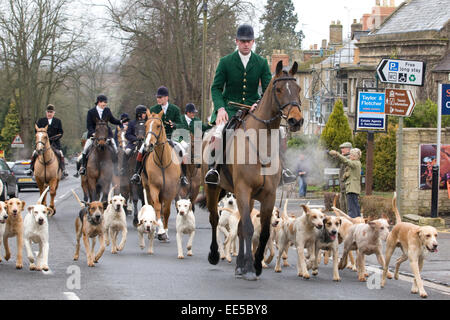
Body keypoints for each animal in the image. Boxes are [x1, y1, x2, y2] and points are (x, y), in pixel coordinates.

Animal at [142, 110, 181, 240]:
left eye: (158, 126)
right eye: (145, 125)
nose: (148, 145)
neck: (162, 161)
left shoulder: (171, 189)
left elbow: (167, 210)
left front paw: (165, 231)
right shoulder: (154, 187)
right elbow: (157, 207)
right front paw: (160, 231)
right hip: (148, 188)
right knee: (153, 205)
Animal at [202, 60, 304, 280]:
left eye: (298, 88)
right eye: (279, 89)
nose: (296, 120)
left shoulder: (269, 195)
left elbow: (262, 232)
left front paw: (254, 265)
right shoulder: (242, 189)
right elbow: (249, 229)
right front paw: (249, 267)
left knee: (240, 227)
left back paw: (239, 265)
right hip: (213, 188)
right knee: (215, 219)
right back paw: (215, 255)